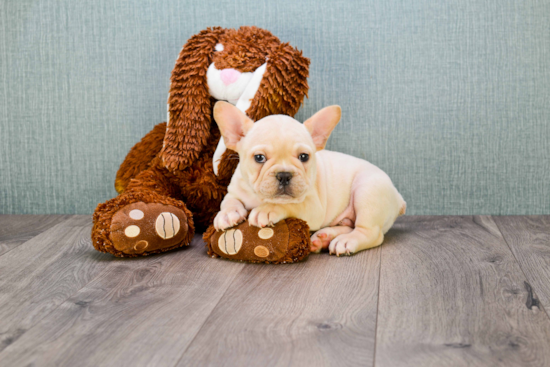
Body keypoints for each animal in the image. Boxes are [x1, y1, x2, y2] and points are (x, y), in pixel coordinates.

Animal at [213, 100, 408, 256]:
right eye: (259, 158)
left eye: (304, 157)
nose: (284, 175)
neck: (261, 197)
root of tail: (399, 198)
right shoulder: (234, 190)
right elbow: (229, 201)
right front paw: (227, 214)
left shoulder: (313, 207)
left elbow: (290, 204)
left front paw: (267, 210)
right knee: (349, 225)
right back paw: (324, 238)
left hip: (367, 191)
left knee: (370, 233)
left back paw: (346, 241)